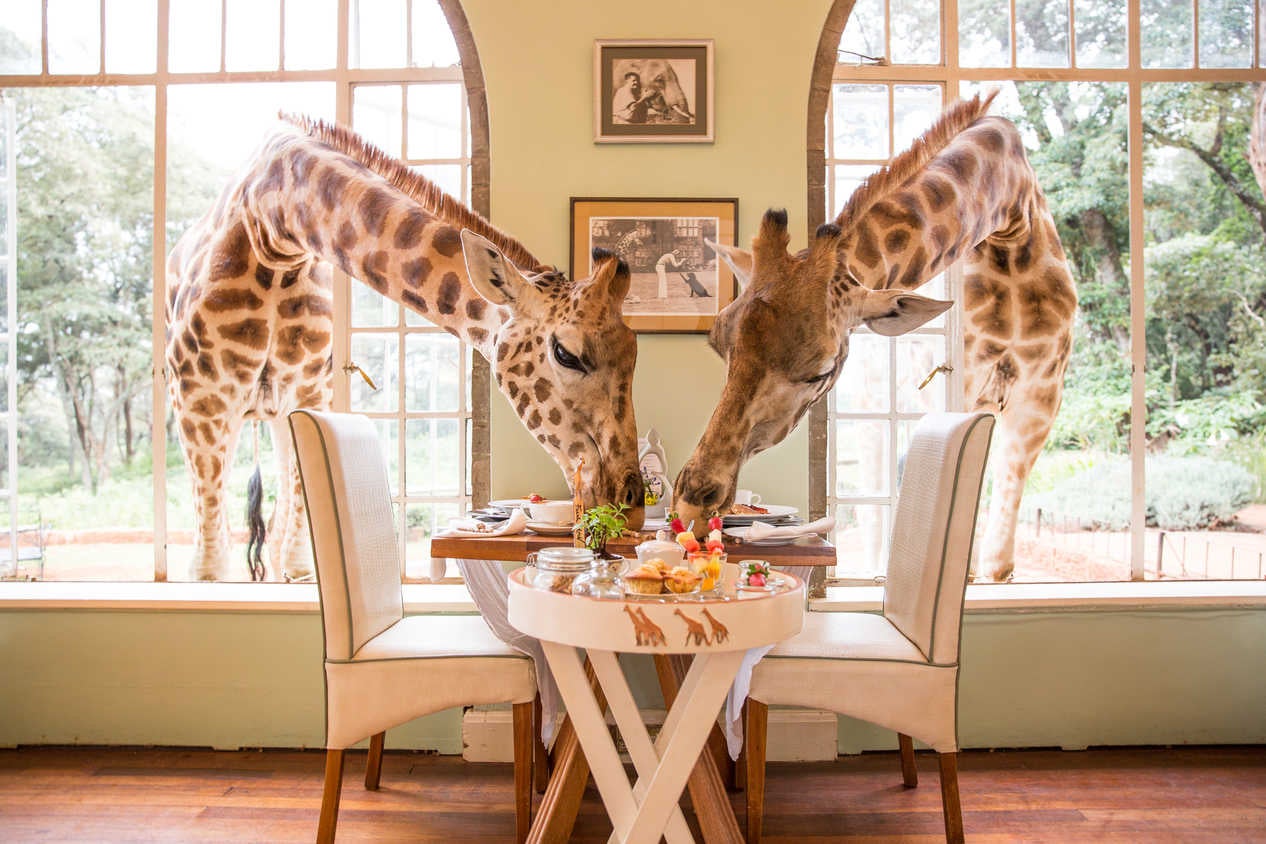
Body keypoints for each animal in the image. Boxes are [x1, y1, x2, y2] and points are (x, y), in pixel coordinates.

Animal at [167, 117, 643, 582]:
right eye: (566, 354)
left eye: (635, 354)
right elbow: (208, 569)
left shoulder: (308, 395)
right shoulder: (199, 401)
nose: (632, 504)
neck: (274, 227)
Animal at [678, 92, 1073, 582]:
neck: (1010, 217)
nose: (691, 505)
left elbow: (997, 556)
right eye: (718, 344)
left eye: (821, 370)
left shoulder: (1039, 396)